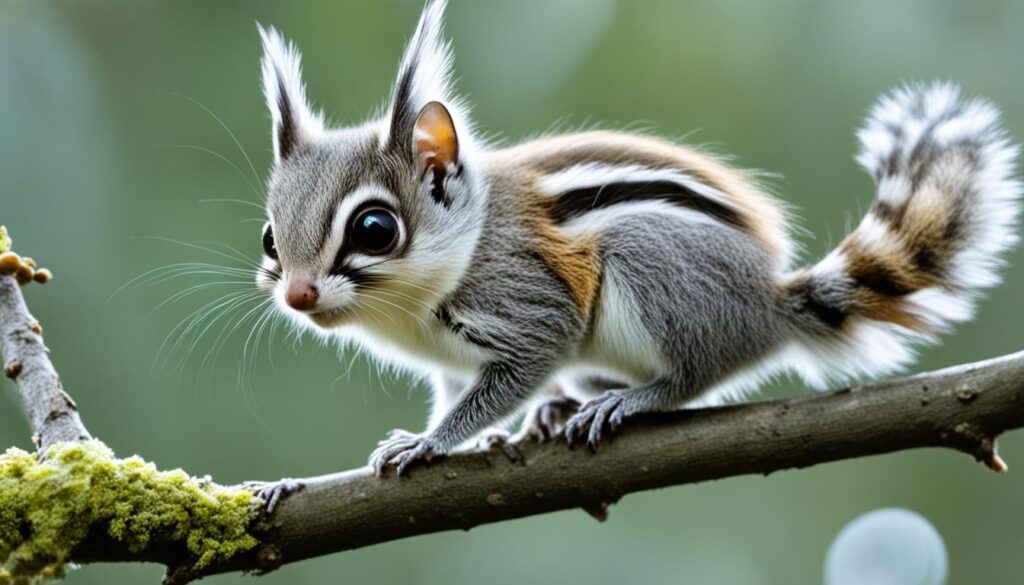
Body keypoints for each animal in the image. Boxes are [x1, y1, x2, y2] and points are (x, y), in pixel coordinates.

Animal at [254, 0, 1021, 476]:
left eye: (375, 228)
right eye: (269, 237)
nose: (298, 295)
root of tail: (768, 303)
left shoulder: (530, 309)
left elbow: (509, 377)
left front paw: (433, 442)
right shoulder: (450, 362)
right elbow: (457, 391)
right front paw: (452, 431)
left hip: (653, 268)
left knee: (695, 375)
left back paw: (630, 399)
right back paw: (563, 406)